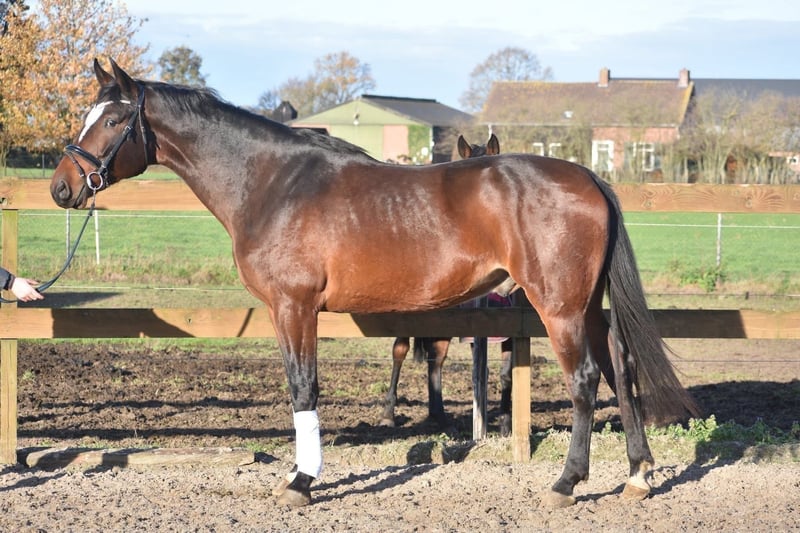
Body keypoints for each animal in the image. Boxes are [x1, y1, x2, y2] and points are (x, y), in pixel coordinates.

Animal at [379, 133, 517, 436]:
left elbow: (506, 373)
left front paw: (505, 423)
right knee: (403, 352)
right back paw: (390, 413)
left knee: (436, 360)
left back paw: (439, 414)